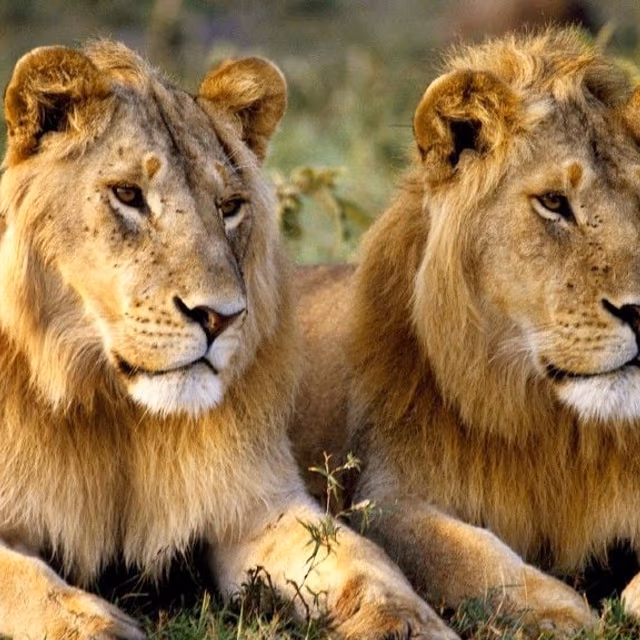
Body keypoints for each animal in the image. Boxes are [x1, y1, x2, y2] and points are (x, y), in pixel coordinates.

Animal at [0, 41, 459, 640]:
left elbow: (366, 563)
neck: (112, 410)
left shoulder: (258, 507)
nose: (218, 317)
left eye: (229, 207)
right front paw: (98, 626)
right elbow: (27, 582)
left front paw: (413, 623)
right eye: (127, 194)